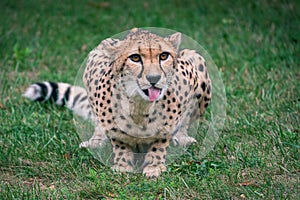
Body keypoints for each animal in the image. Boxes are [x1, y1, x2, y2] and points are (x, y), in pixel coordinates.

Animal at [23, 27, 211, 177]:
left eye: (164, 56)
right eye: (135, 58)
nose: (154, 78)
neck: (140, 106)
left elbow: (161, 140)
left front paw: (154, 166)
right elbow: (118, 139)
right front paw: (122, 166)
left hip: (197, 62)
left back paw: (182, 138)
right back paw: (96, 141)